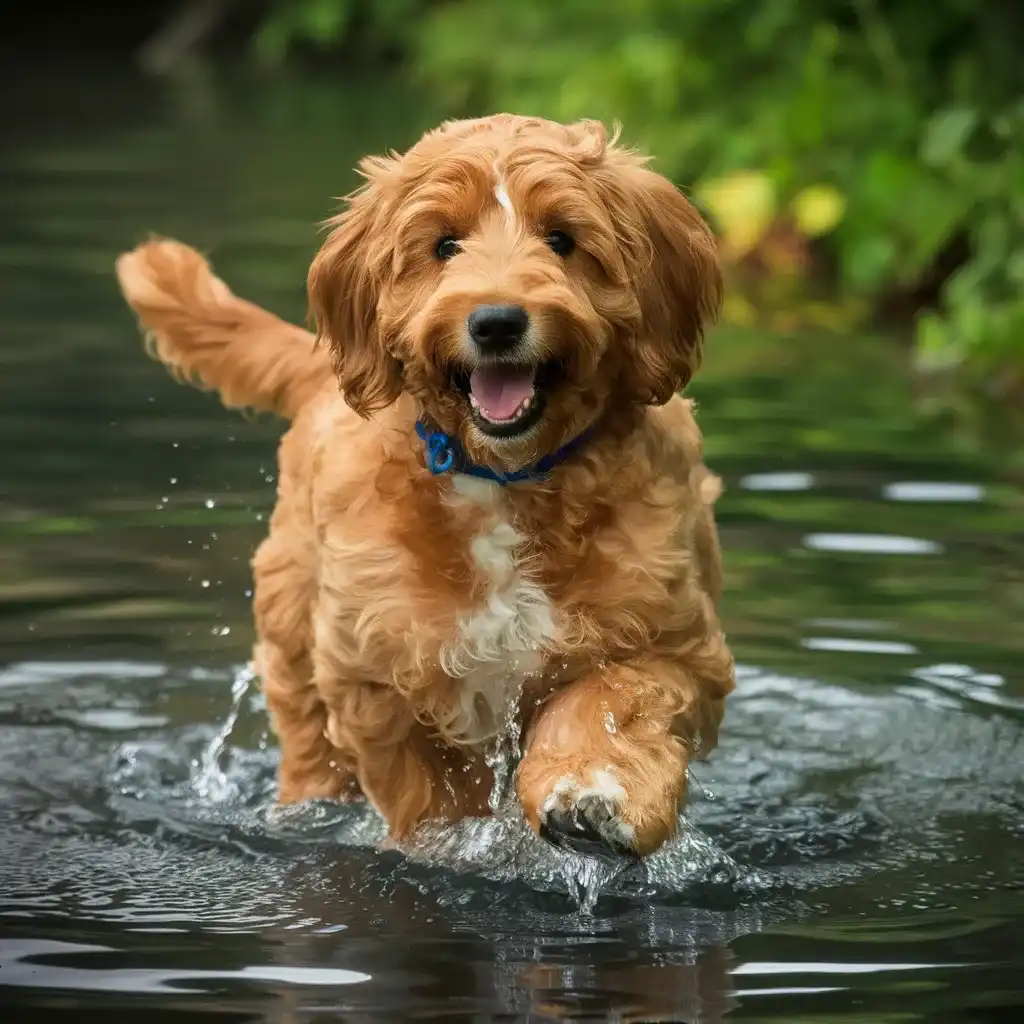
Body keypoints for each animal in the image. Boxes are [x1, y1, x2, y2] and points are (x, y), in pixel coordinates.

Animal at [114, 116, 737, 860]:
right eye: (444, 244)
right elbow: (433, 787)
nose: (496, 321)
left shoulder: (672, 639)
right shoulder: (375, 674)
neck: (504, 477)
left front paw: (593, 793)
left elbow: (615, 702)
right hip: (296, 639)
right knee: (308, 747)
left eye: (562, 238)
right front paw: (456, 841)